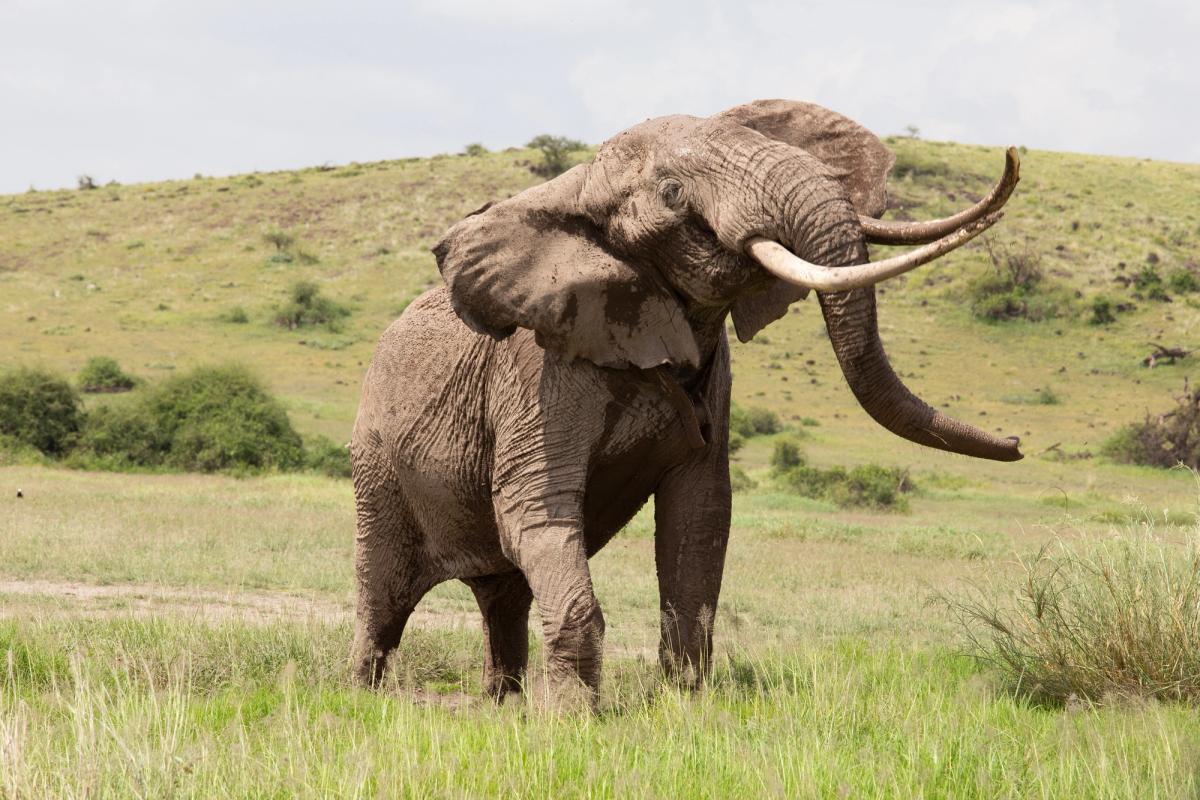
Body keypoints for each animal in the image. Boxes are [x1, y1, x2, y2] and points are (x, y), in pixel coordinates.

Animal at [350, 99, 1023, 705]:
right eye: (673, 192)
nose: (1017, 442)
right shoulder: (537, 368)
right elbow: (537, 505)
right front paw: (574, 721)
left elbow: (699, 517)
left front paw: (685, 706)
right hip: (375, 462)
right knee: (384, 594)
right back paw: (362, 696)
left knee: (504, 595)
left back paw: (502, 703)